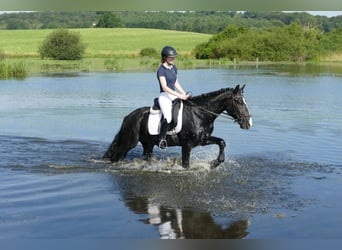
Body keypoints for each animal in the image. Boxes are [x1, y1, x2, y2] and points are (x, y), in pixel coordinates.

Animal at [103, 85, 251, 169]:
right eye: (238, 102)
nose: (248, 123)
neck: (200, 115)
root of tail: (129, 116)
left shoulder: (202, 140)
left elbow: (222, 142)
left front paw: (214, 163)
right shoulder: (187, 145)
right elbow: (186, 165)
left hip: (148, 144)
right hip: (129, 143)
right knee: (116, 155)